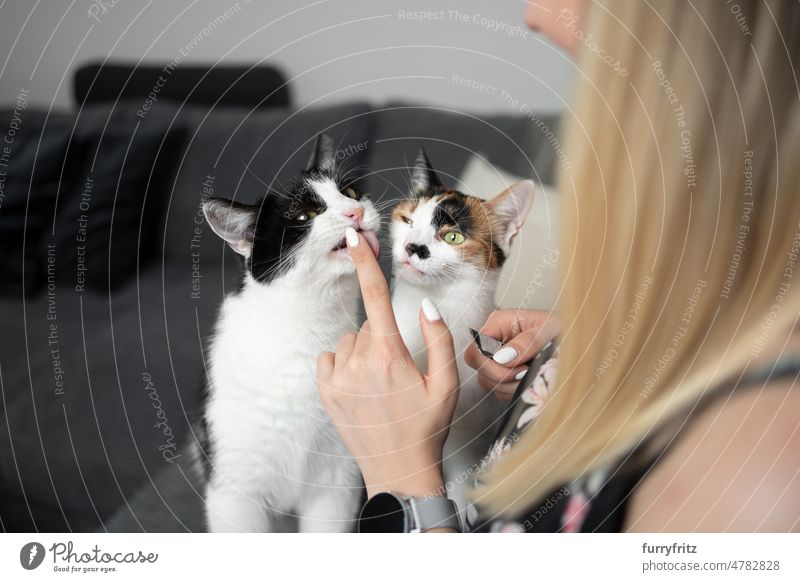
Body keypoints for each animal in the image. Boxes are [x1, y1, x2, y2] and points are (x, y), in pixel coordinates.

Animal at [195, 133, 380, 532]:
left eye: (351, 192)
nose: (355, 212)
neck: (307, 328)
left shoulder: (337, 481)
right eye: (303, 216)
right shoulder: (234, 491)